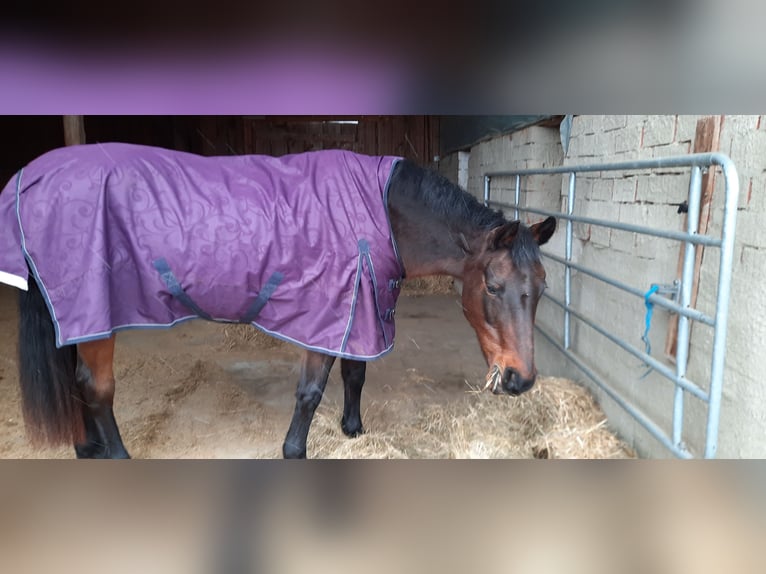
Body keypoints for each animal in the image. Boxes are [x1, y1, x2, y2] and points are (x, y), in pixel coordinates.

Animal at [6, 146, 560, 462]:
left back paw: (86, 447)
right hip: (96, 315)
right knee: (94, 388)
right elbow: (310, 393)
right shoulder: (327, 312)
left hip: (76, 317)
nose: (520, 380)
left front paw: (353, 430)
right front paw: (295, 450)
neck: (378, 210)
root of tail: (28, 179)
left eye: (543, 286)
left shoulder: (357, 308)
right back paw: (116, 456)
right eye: (493, 286)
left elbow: (355, 373)